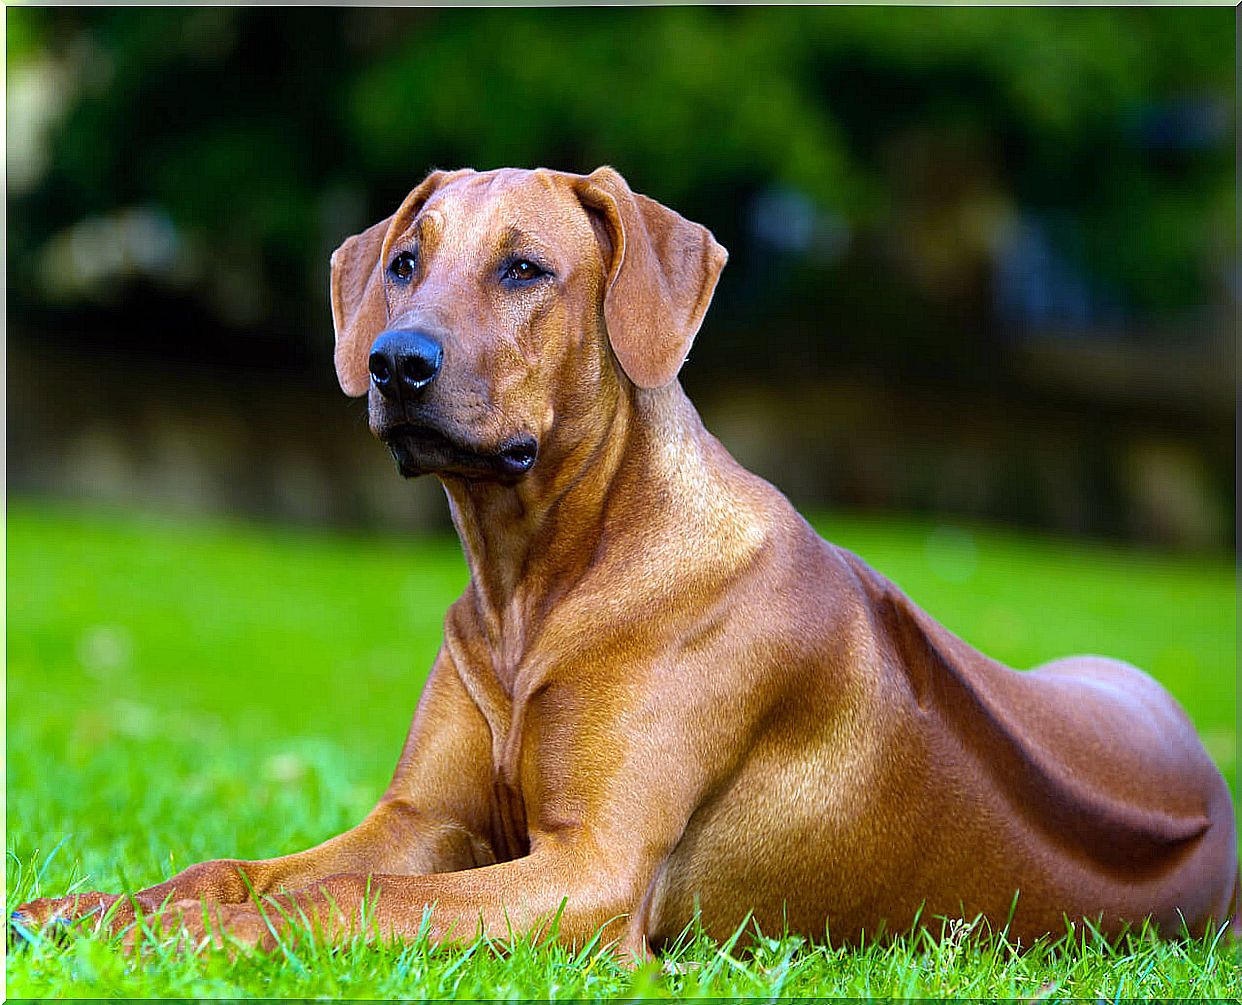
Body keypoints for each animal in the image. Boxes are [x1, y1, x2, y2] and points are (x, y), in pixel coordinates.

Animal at [12, 162, 1242, 949]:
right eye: (404, 262)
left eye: (524, 270)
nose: (395, 360)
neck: (537, 582)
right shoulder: (420, 821)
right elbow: (246, 867)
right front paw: (92, 909)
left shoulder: (592, 870)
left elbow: (337, 901)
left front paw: (180, 934)